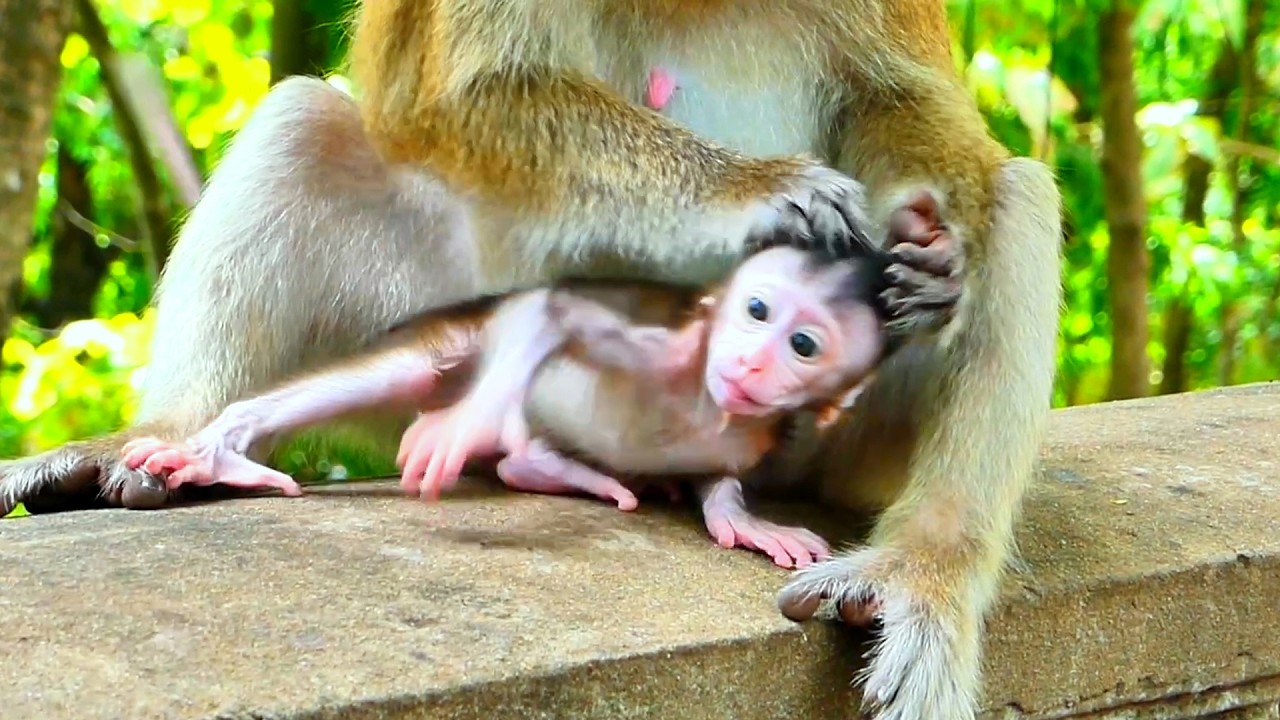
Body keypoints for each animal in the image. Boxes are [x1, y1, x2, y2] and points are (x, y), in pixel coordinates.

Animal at [0, 1, 1064, 717]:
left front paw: (932, 260)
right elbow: (471, 88)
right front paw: (766, 192)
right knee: (307, 123)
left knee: (1016, 195)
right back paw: (161, 442)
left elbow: (904, 98)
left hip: (833, 446)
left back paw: (920, 575)